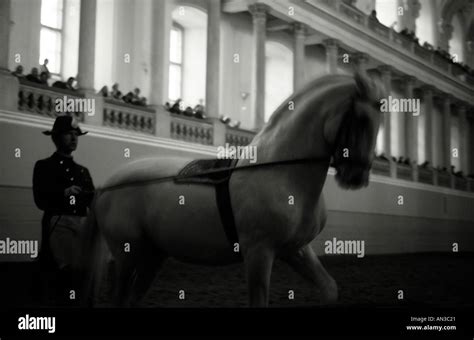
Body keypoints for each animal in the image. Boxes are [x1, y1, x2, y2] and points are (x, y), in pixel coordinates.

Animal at [81, 72, 384, 308]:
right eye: (361, 119)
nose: (357, 176)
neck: (282, 173)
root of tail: (107, 184)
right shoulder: (259, 253)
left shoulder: (295, 250)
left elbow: (329, 288)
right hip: (127, 255)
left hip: (153, 257)